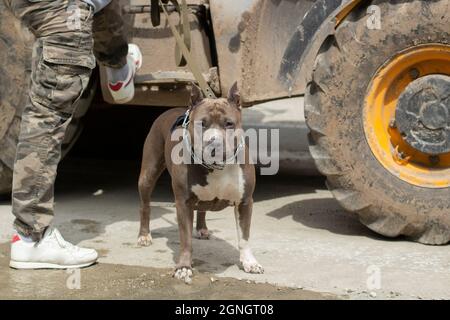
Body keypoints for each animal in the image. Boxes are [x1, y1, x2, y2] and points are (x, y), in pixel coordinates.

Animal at [138, 82, 264, 282]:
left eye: (229, 124)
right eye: (201, 124)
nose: (214, 142)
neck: (217, 167)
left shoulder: (245, 201)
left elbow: (244, 237)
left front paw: (249, 262)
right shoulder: (183, 202)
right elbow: (185, 239)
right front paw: (183, 267)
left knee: (202, 208)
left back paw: (202, 228)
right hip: (148, 174)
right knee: (145, 205)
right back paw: (144, 235)